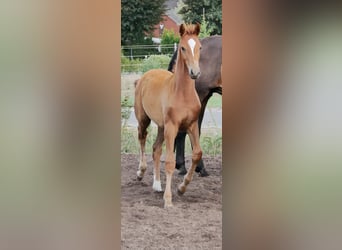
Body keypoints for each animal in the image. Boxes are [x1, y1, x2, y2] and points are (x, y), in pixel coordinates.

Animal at [134, 23, 203, 207]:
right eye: (183, 48)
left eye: (200, 47)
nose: (195, 72)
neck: (182, 93)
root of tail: (144, 76)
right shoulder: (172, 127)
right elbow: (171, 162)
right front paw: (168, 200)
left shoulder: (192, 125)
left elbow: (197, 154)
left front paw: (182, 188)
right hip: (144, 119)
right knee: (142, 137)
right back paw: (140, 172)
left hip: (161, 126)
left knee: (156, 149)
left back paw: (157, 184)